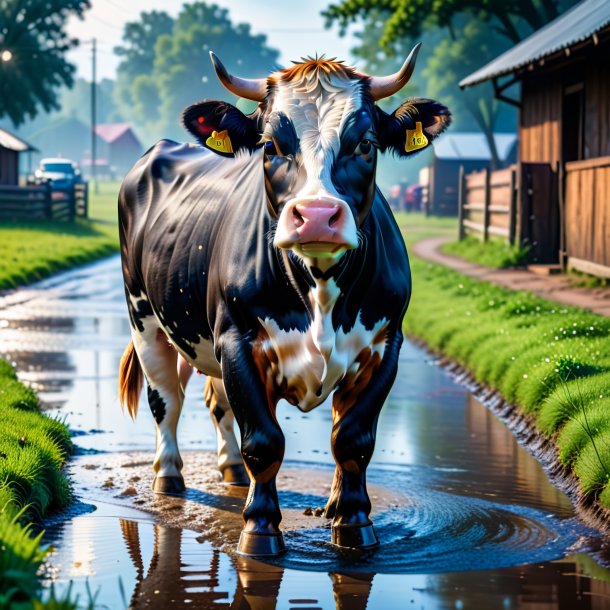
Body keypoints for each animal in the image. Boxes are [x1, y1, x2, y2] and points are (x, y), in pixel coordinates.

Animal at [116, 44, 448, 556]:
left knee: (216, 401)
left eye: (365, 144)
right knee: (165, 399)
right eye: (271, 146)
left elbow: (352, 439)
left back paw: (233, 471)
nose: (317, 215)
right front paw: (260, 530)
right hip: (145, 319)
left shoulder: (384, 346)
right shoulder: (238, 340)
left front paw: (352, 521)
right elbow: (264, 440)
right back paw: (168, 477)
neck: (320, 290)